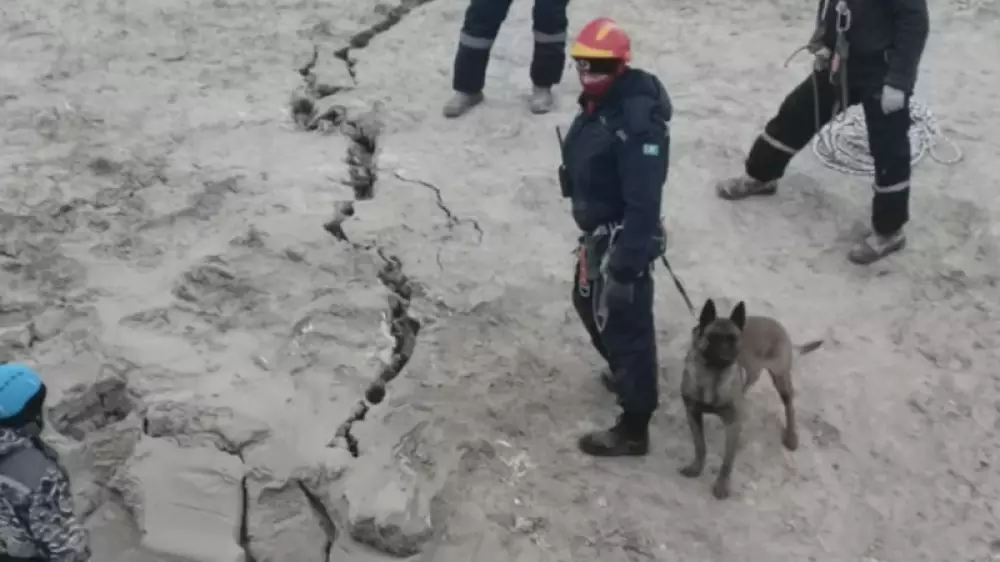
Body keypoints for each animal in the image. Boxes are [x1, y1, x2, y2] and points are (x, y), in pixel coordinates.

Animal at [678, 298, 823, 499]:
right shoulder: (693, 415)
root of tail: (777, 325)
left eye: (733, 339)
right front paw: (696, 468)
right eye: (713, 337)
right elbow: (700, 446)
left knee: (789, 405)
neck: (712, 376)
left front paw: (722, 485)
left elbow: (727, 461)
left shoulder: (732, 425)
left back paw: (791, 436)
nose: (726, 355)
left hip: (781, 378)